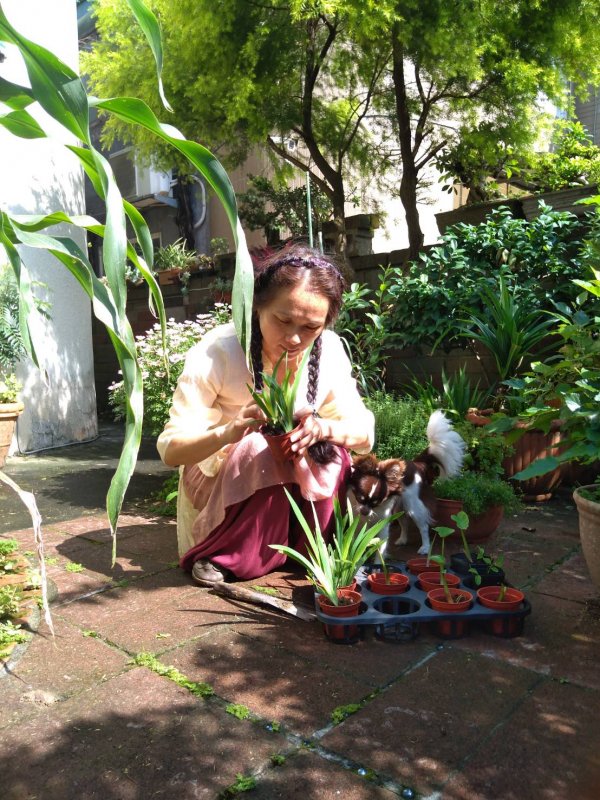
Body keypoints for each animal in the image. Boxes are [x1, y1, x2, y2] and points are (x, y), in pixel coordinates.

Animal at [348, 410, 466, 558]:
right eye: (359, 497)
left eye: (377, 502)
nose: (365, 511)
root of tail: (416, 464)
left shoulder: (382, 521)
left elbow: (380, 546)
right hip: (401, 506)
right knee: (404, 523)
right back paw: (402, 540)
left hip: (415, 507)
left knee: (423, 527)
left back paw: (425, 548)